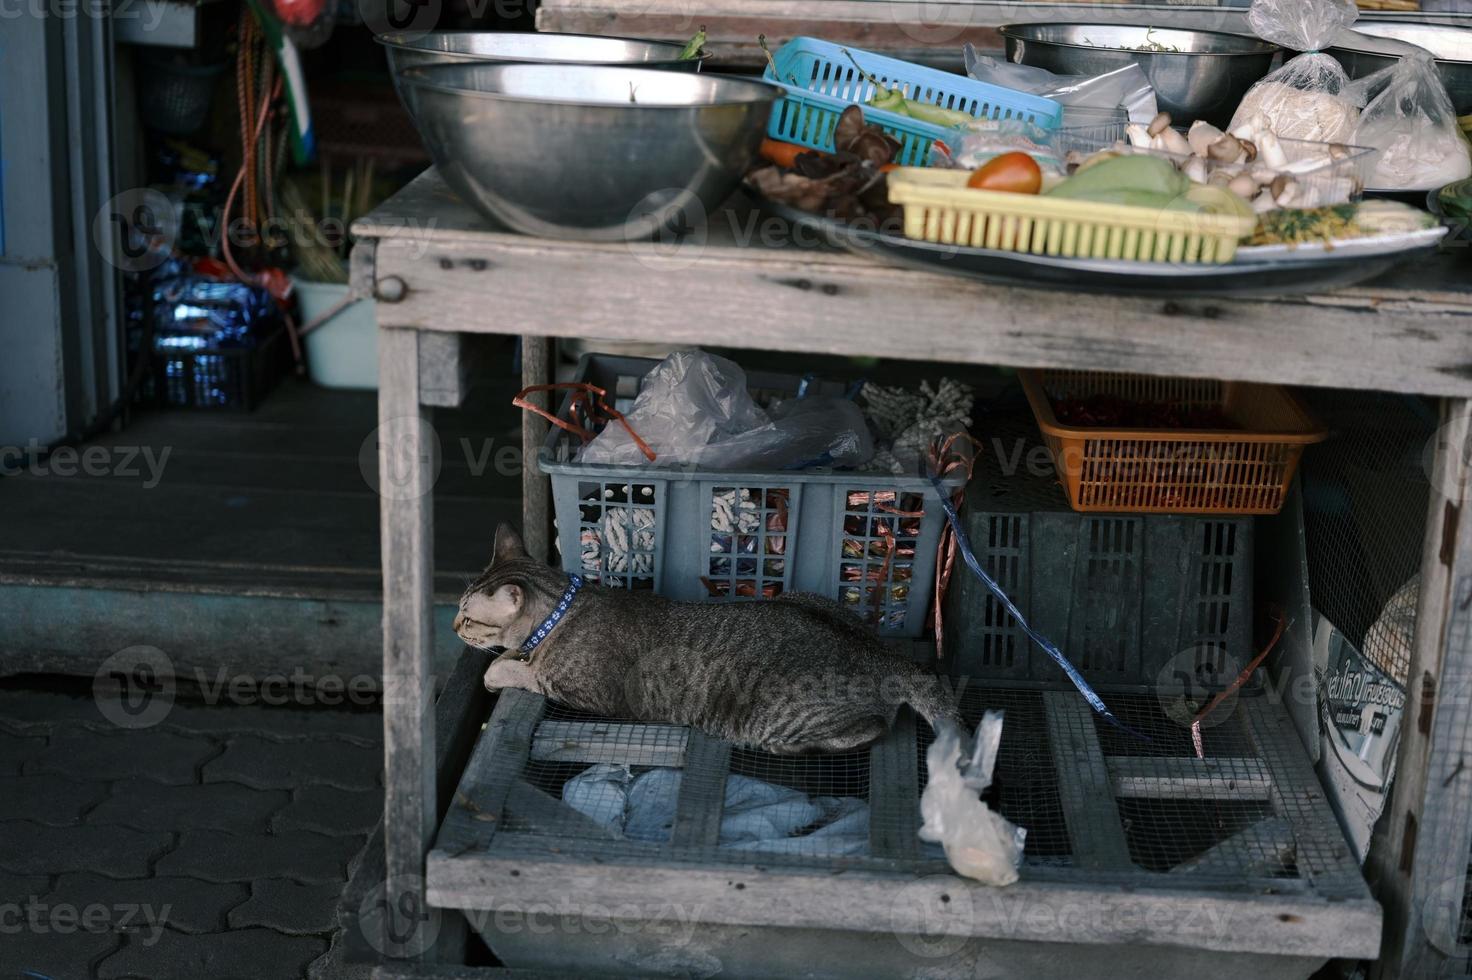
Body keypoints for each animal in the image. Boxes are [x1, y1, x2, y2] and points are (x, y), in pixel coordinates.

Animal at [459, 523, 965, 750]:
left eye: (466, 618)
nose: (451, 625)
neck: (565, 605)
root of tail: (887, 657)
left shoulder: (585, 690)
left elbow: (520, 671)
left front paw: (498, 670)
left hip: (778, 718)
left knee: (871, 727)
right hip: (809, 597)